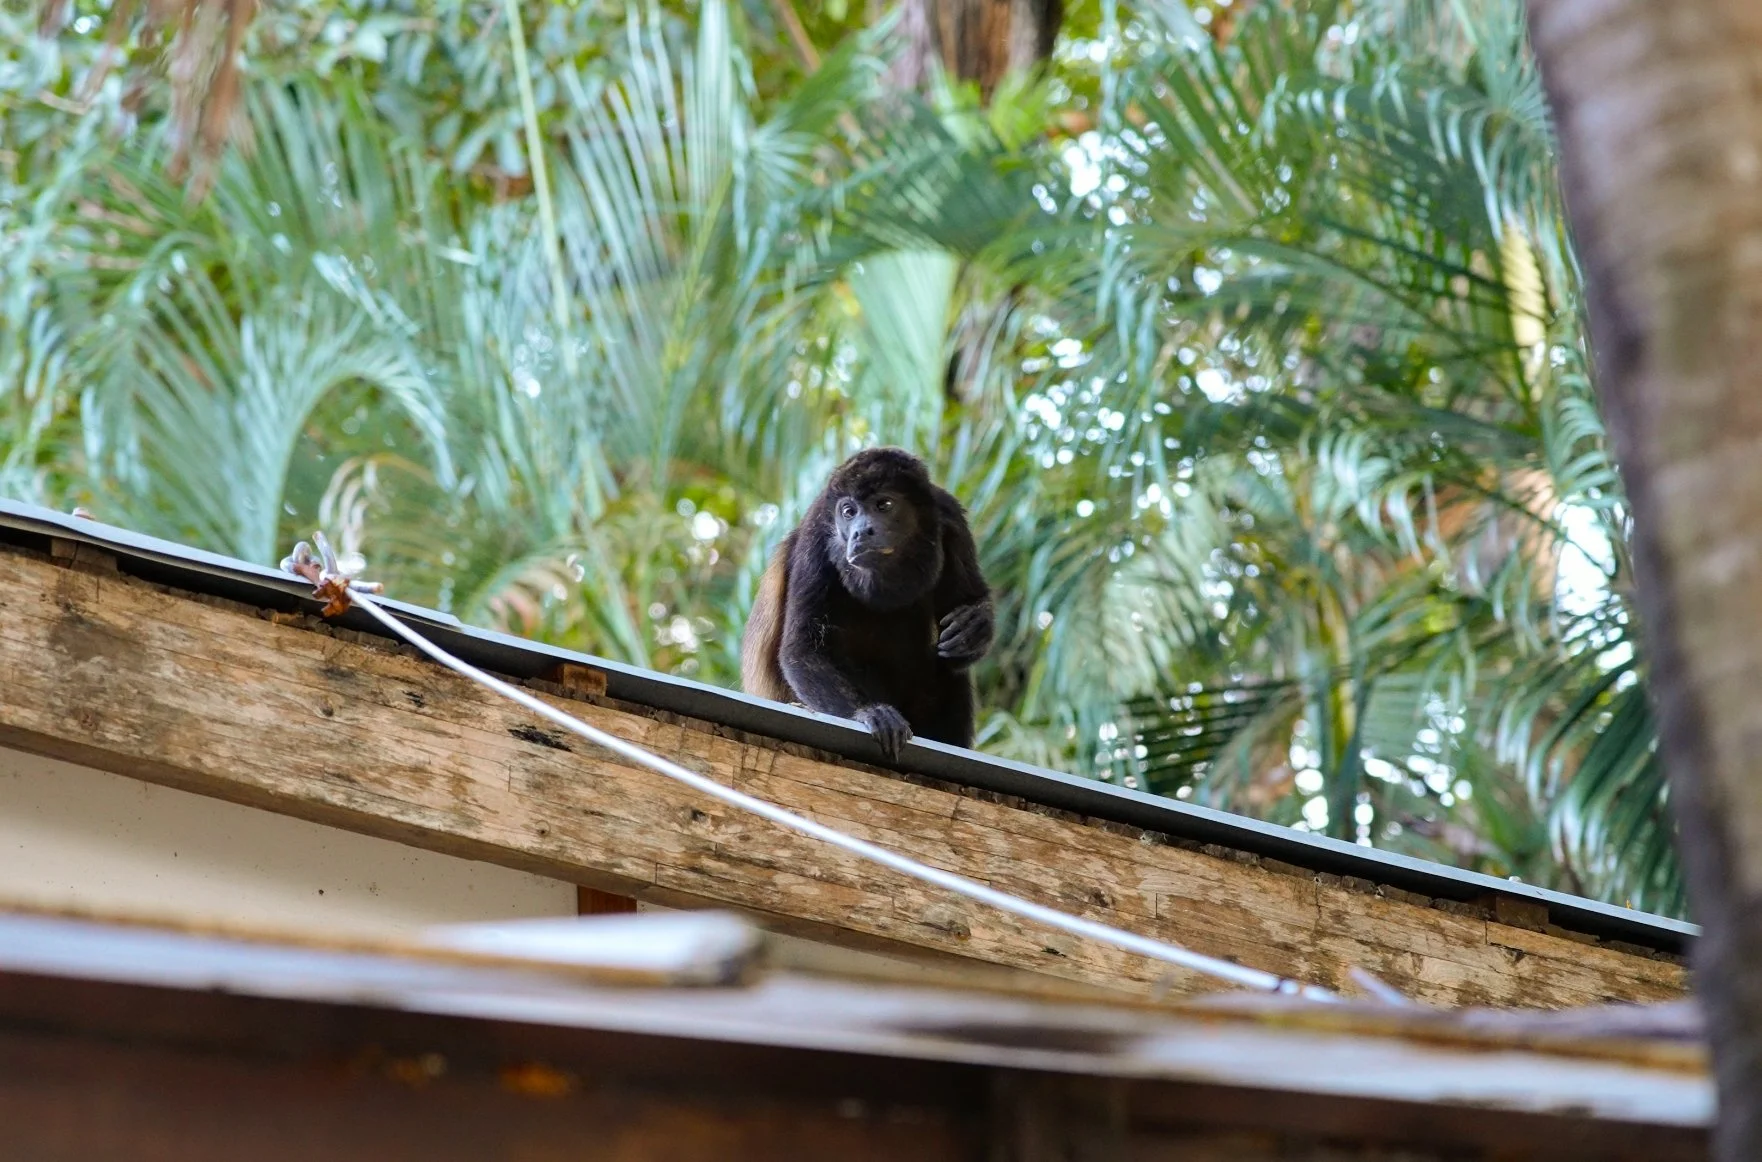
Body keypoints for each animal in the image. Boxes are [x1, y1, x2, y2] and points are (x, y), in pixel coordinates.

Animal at [740, 447, 994, 761]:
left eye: (884, 504)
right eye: (848, 512)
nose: (860, 532)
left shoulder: (950, 516)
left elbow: (969, 603)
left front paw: (976, 627)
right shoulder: (816, 535)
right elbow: (802, 648)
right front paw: (868, 713)